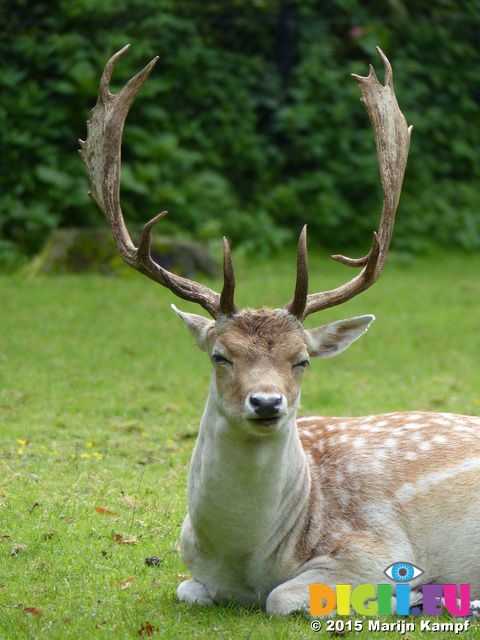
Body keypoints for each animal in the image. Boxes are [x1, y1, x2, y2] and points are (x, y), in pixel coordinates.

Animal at [79, 45, 480, 616]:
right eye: (220, 356)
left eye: (302, 360)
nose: (267, 402)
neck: (249, 561)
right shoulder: (194, 574)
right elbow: (188, 590)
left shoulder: (378, 550)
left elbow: (283, 598)